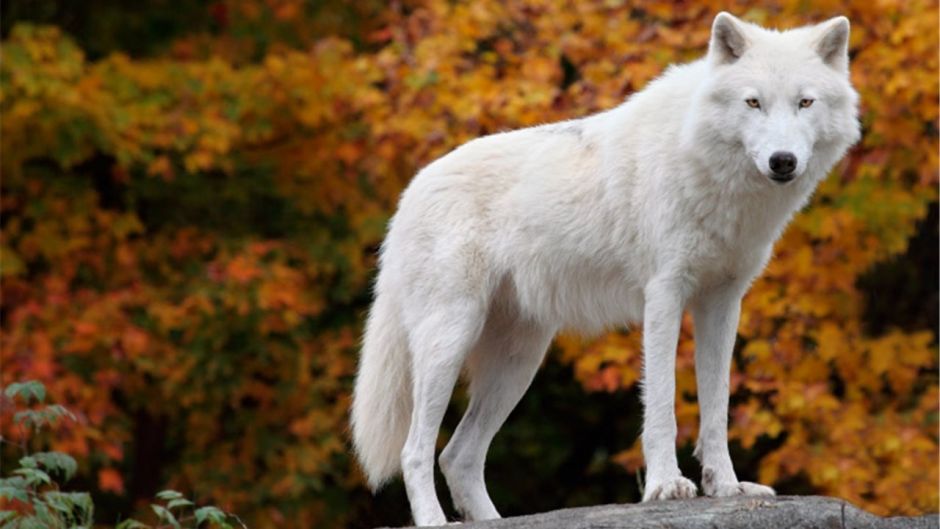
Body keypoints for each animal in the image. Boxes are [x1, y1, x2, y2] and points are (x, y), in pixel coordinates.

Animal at [351, 12, 860, 526]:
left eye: (805, 102)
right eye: (753, 102)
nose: (783, 161)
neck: (704, 163)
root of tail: (410, 192)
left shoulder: (722, 302)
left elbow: (717, 407)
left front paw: (726, 486)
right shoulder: (664, 295)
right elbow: (662, 403)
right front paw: (666, 486)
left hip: (518, 363)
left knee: (457, 455)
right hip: (449, 342)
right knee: (416, 451)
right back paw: (434, 519)